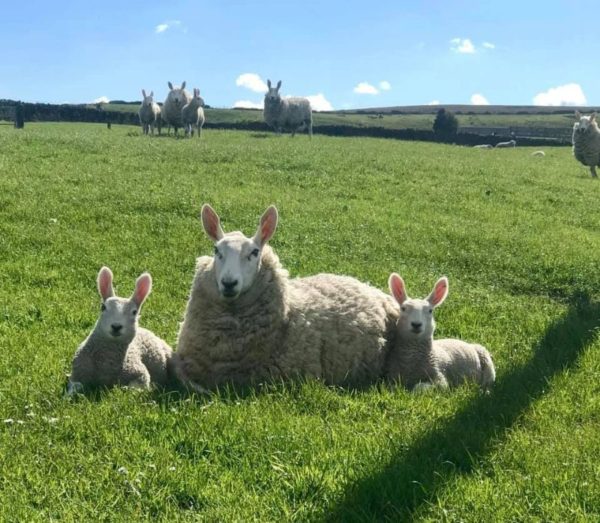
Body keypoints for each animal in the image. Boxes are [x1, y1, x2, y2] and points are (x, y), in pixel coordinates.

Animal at [69, 268, 176, 396]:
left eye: (134, 312)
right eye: (103, 307)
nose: (116, 326)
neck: (107, 362)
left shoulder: (139, 372)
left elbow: (138, 385)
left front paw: (126, 389)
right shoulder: (78, 371)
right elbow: (75, 386)